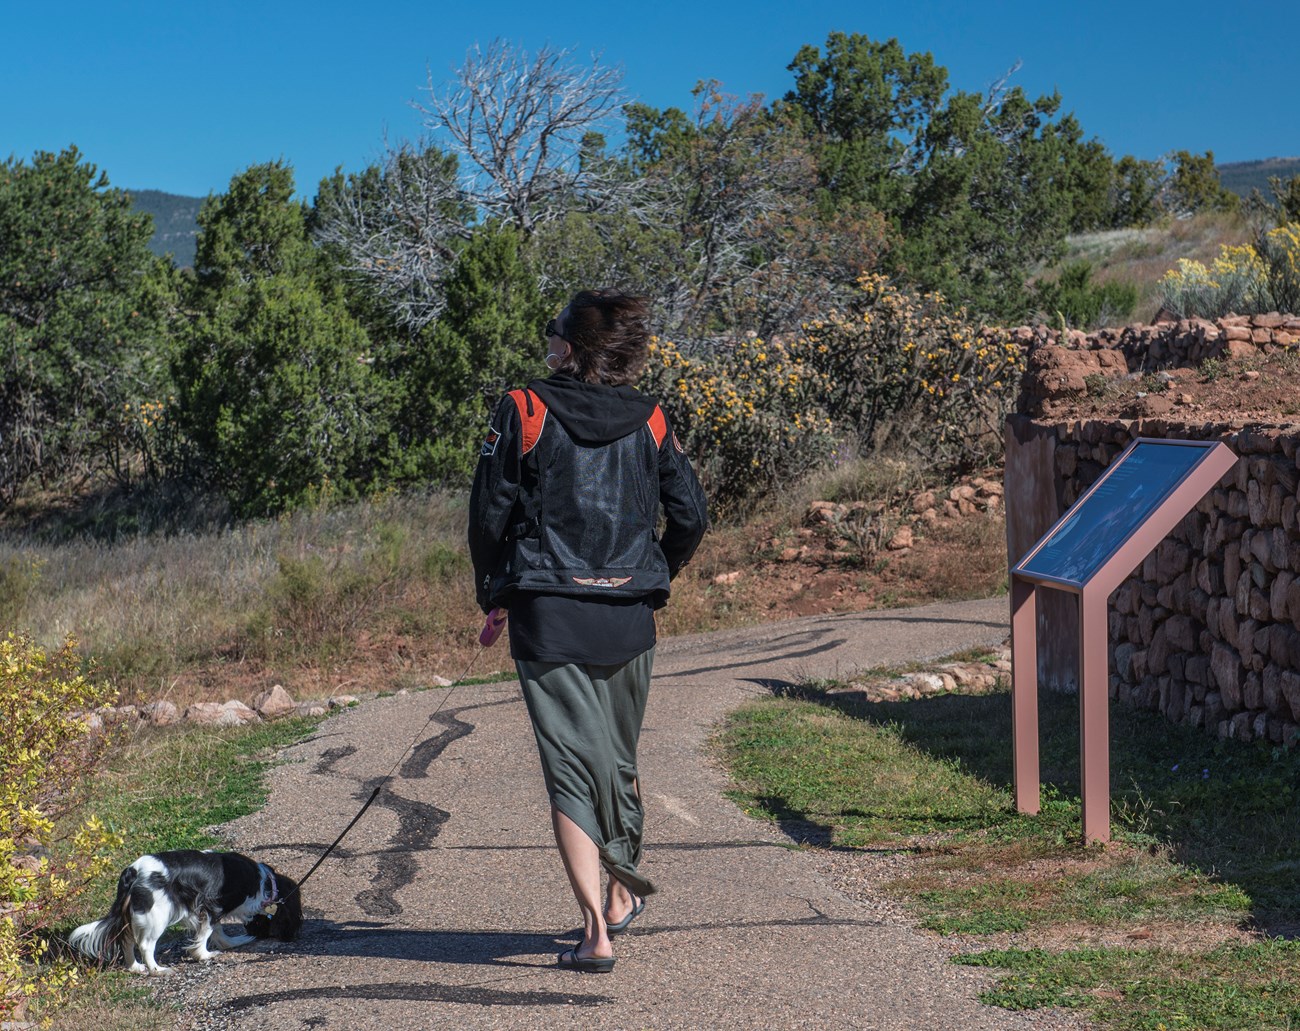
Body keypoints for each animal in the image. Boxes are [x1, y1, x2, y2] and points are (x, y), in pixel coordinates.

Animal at [71, 852, 304, 972]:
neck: (265, 882)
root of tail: (133, 871)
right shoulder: (212, 905)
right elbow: (208, 932)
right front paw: (203, 955)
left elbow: (218, 931)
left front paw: (232, 943)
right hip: (156, 915)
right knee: (145, 944)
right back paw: (157, 970)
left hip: (134, 914)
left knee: (126, 940)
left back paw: (135, 967)